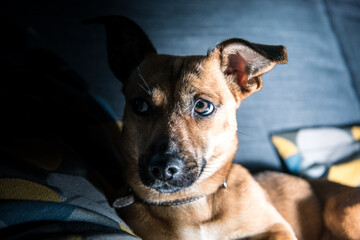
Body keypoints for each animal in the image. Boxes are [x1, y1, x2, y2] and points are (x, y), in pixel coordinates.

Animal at [88, 15, 358, 239]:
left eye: (202, 106)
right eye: (140, 105)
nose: (162, 169)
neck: (191, 204)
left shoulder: (277, 228)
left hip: (341, 213)